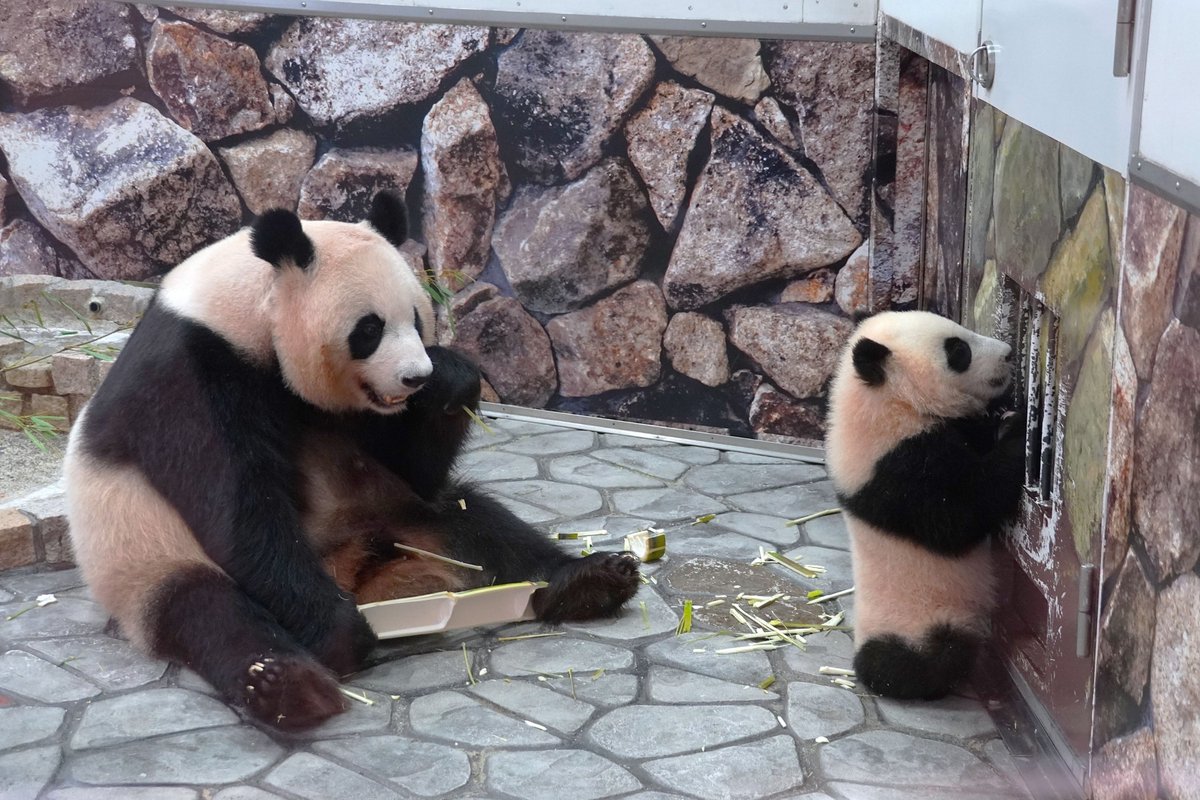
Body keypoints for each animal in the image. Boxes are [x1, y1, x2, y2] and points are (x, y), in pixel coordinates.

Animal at [64, 191, 640, 730]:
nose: (414, 377)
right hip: (142, 553)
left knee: (473, 521)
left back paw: (590, 580)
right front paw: (338, 631)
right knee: (208, 610)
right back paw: (291, 686)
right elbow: (237, 509)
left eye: (417, 320)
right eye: (369, 329)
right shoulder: (193, 372)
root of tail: (355, 570)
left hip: (392, 513)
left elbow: (415, 469)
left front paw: (452, 378)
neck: (246, 305)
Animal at [825, 310, 1024, 700]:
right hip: (916, 622)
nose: (1009, 353)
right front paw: (1018, 427)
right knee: (916, 661)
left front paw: (999, 417)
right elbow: (960, 517)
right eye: (958, 350)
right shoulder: (898, 468)